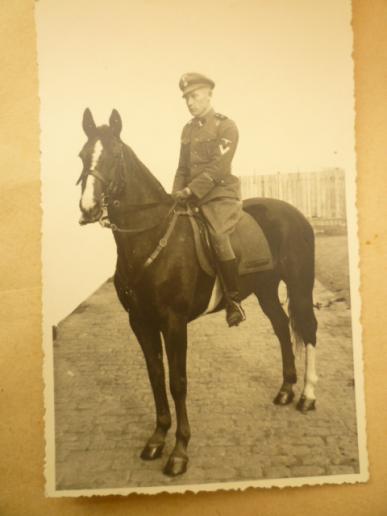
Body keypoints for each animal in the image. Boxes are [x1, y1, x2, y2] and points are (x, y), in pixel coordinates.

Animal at [78, 108, 318, 476]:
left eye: (115, 155)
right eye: (82, 155)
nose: (88, 208)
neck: (151, 238)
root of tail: (295, 214)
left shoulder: (174, 323)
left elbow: (178, 382)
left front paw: (179, 452)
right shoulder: (141, 323)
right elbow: (155, 376)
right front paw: (157, 439)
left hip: (301, 285)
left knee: (308, 330)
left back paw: (307, 396)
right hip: (265, 290)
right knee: (281, 328)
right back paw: (286, 390)